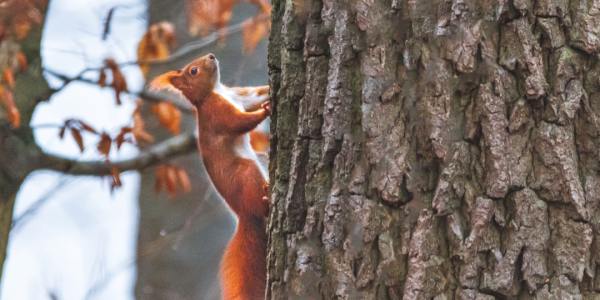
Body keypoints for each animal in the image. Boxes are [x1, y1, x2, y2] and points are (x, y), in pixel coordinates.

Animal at [151, 52, 270, 298]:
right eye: (193, 71)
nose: (212, 56)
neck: (214, 92)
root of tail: (244, 214)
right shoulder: (218, 113)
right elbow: (239, 122)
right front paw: (266, 109)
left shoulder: (239, 96)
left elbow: (255, 95)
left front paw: (270, 89)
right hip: (246, 173)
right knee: (259, 204)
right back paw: (266, 196)